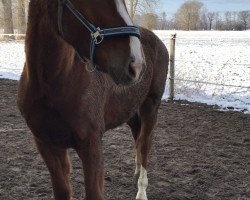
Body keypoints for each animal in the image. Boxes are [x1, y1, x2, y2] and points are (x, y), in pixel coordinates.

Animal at [17, 0, 168, 200]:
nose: (136, 64)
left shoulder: (92, 145)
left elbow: (94, 193)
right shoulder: (47, 145)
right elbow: (62, 191)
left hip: (150, 105)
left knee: (145, 144)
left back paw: (141, 190)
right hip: (129, 109)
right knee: (138, 135)